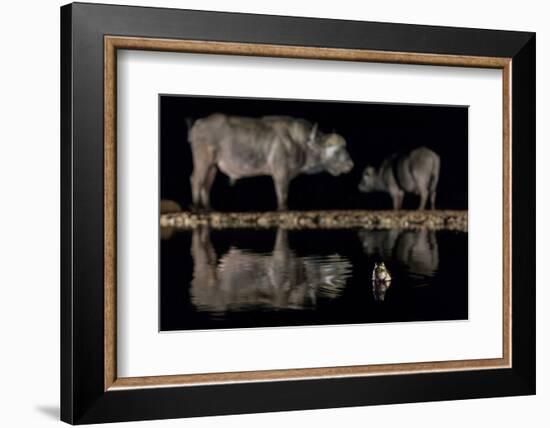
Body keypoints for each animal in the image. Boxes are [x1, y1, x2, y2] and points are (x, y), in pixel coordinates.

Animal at [189, 114, 354, 210]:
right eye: (336, 151)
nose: (351, 165)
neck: (299, 143)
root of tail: (198, 124)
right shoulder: (281, 175)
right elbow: (282, 197)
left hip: (212, 165)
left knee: (206, 184)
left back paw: (208, 208)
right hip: (203, 160)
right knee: (196, 180)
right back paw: (196, 207)